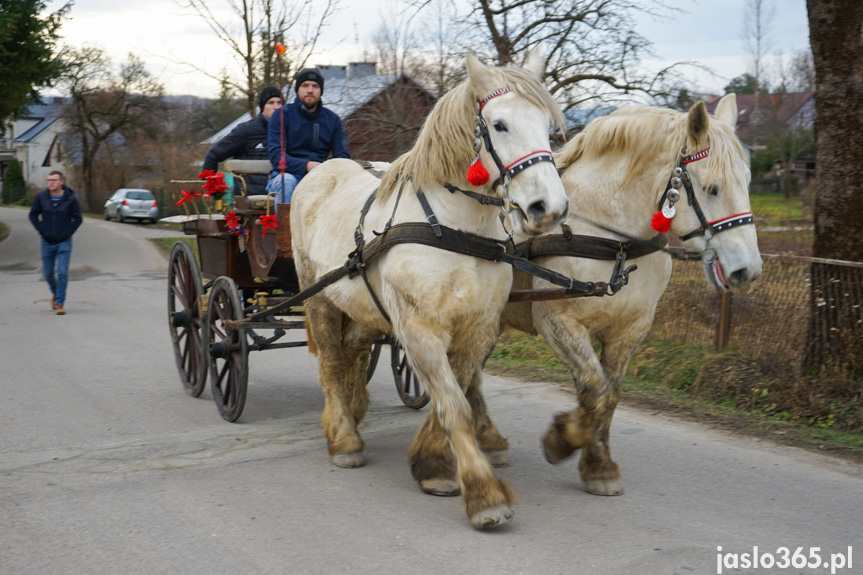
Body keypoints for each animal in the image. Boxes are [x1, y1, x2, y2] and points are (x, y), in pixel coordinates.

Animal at [290, 55, 572, 532]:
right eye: (499, 124)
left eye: (548, 127)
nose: (547, 208)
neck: (455, 227)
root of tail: (321, 172)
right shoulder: (419, 327)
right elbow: (454, 404)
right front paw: (483, 494)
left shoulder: (477, 325)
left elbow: (454, 393)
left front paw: (434, 464)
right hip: (318, 298)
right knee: (330, 361)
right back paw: (344, 437)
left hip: (363, 306)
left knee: (352, 351)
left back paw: (354, 409)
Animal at [492, 93, 764, 496]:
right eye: (712, 188)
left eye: (747, 182)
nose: (747, 270)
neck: (612, 240)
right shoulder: (559, 323)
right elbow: (595, 389)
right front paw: (563, 438)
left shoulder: (629, 329)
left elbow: (610, 396)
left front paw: (598, 465)